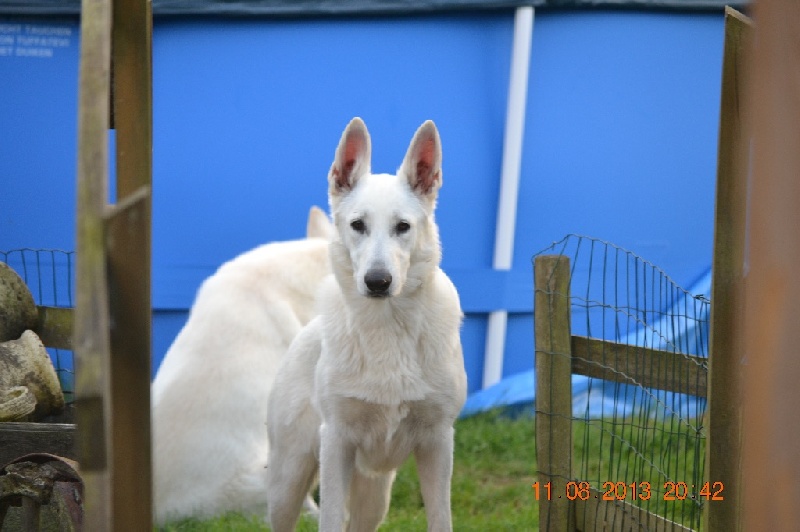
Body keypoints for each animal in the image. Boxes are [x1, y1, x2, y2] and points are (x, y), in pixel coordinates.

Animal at [268, 117, 468, 532]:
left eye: (403, 227)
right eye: (358, 225)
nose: (378, 282)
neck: (387, 328)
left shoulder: (438, 443)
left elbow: (440, 518)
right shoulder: (337, 443)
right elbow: (329, 520)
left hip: (374, 499)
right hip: (287, 482)